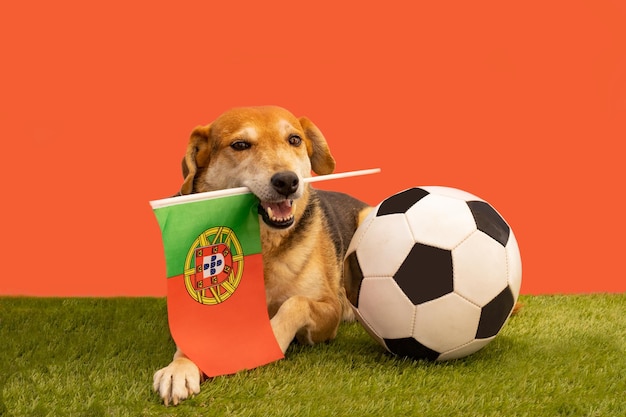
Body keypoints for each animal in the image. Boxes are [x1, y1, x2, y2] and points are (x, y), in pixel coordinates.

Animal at [152, 105, 370, 404]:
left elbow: (295, 303)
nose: (287, 181)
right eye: (240, 145)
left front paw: (272, 338)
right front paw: (180, 367)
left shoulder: (329, 309)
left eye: (294, 140)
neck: (265, 246)